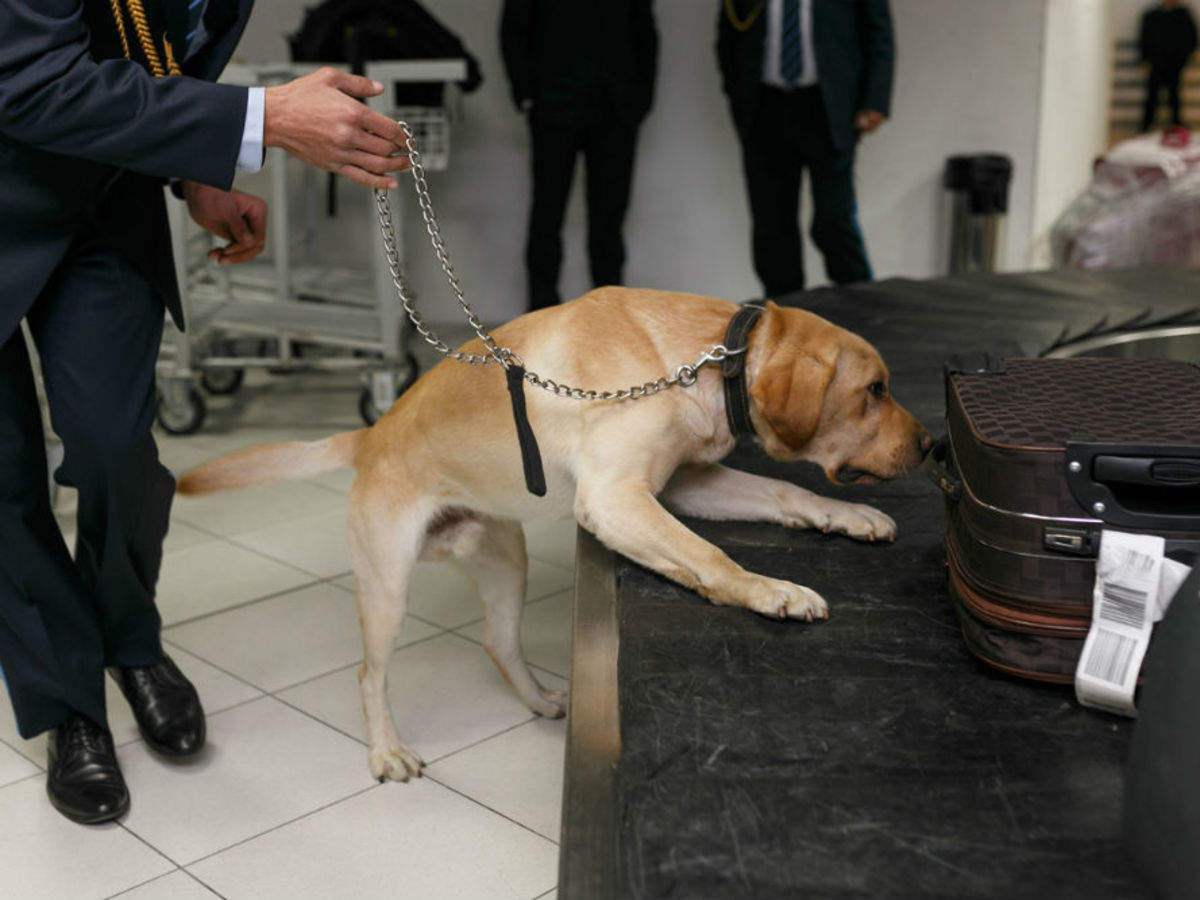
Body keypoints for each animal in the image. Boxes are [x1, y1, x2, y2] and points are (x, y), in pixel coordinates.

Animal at [175, 289, 926, 782]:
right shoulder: (616, 499)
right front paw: (771, 591)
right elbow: (708, 556)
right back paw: (386, 751)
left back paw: (538, 699)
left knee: (498, 642)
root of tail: (371, 433)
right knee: (369, 674)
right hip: (386, 589)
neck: (707, 358)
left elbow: (783, 493)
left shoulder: (683, 485)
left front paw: (850, 516)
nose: (931, 445)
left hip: (507, 560)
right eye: (875, 390)